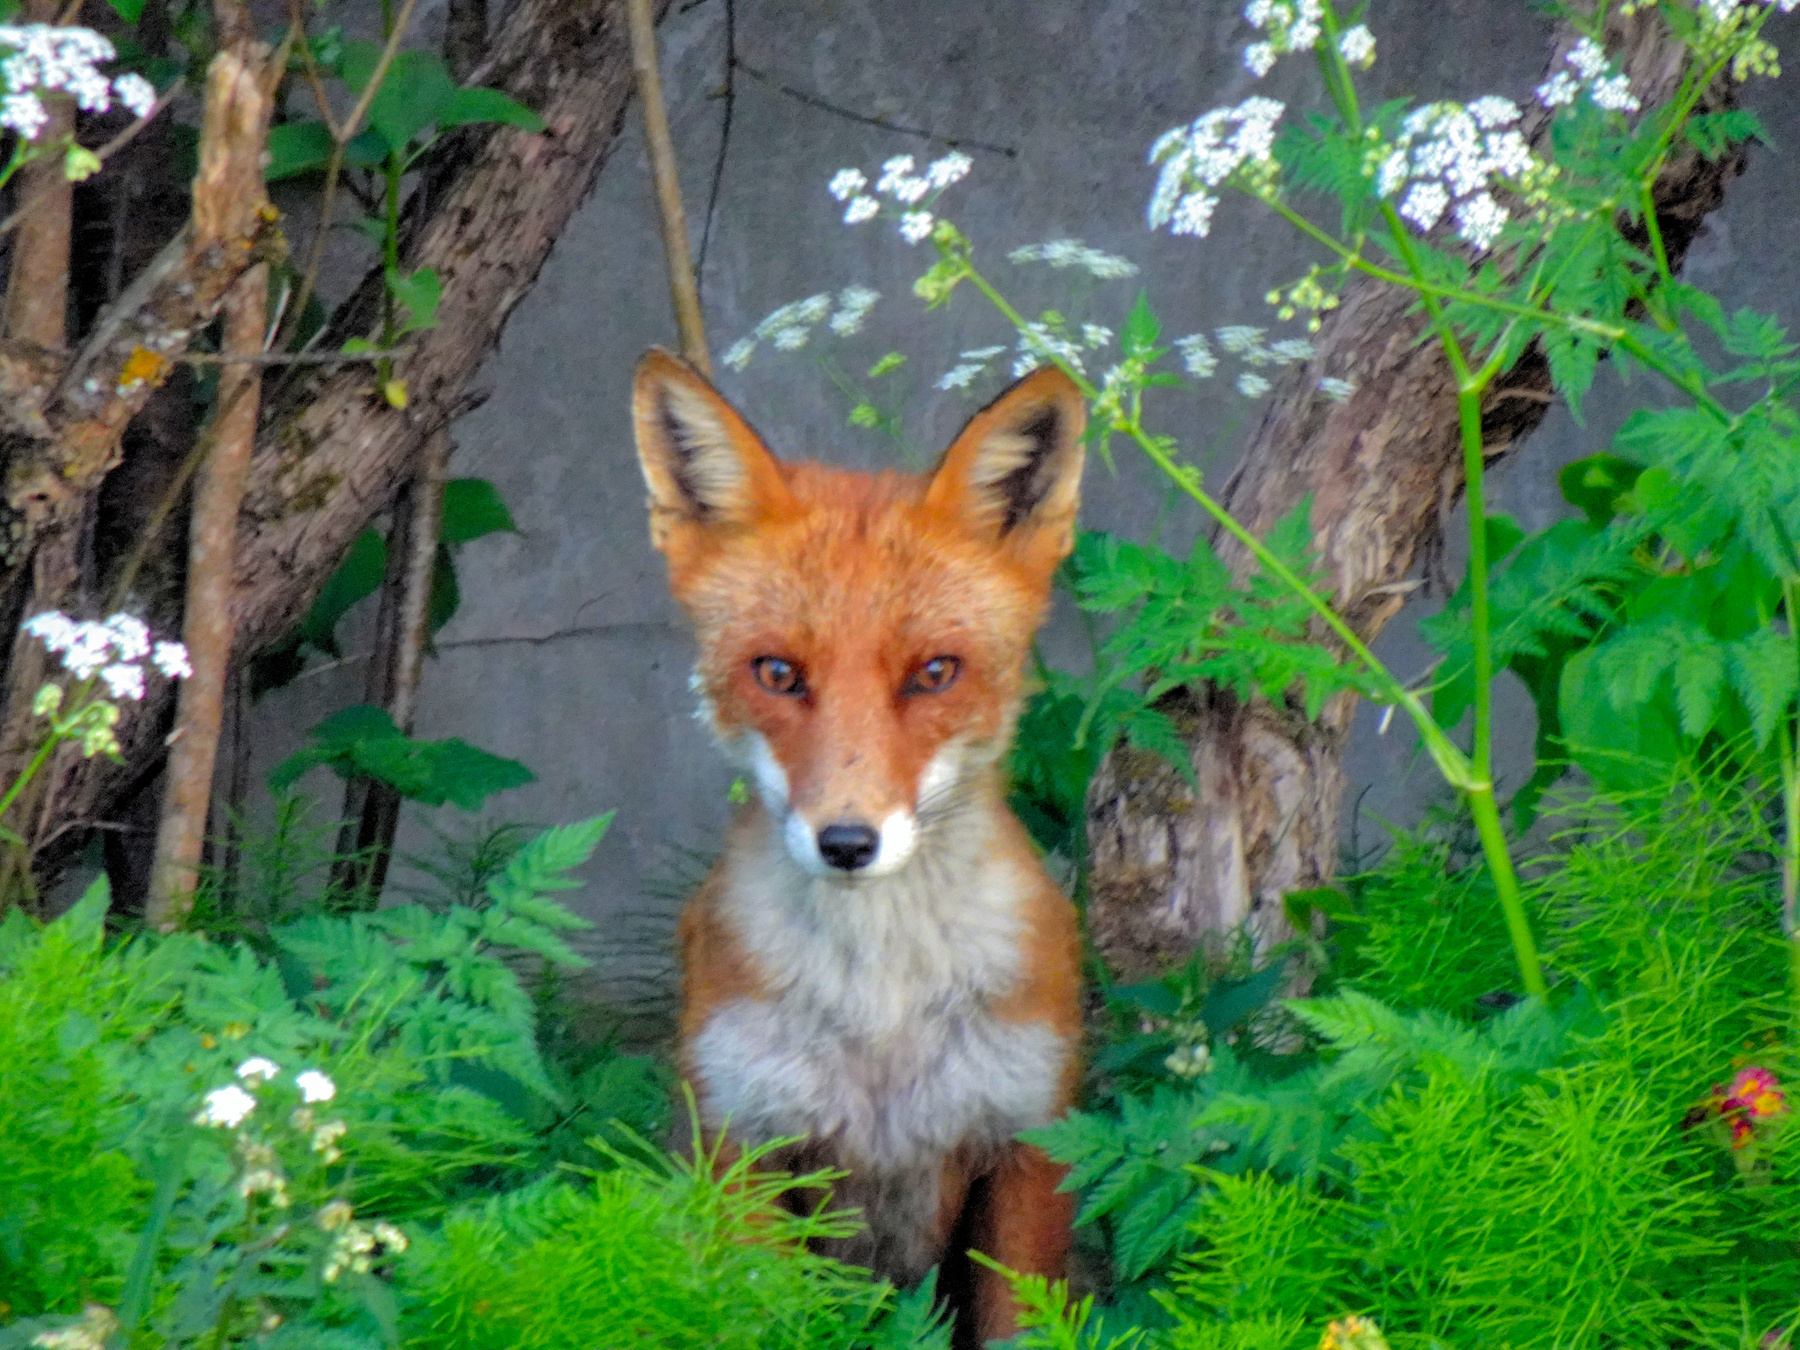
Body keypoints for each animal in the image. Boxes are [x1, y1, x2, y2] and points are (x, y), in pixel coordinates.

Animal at [630, 347, 1087, 1344]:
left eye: (934, 673)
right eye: (777, 673)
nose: (846, 841)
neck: (881, 1009)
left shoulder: (1029, 1146)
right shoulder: (744, 1140)